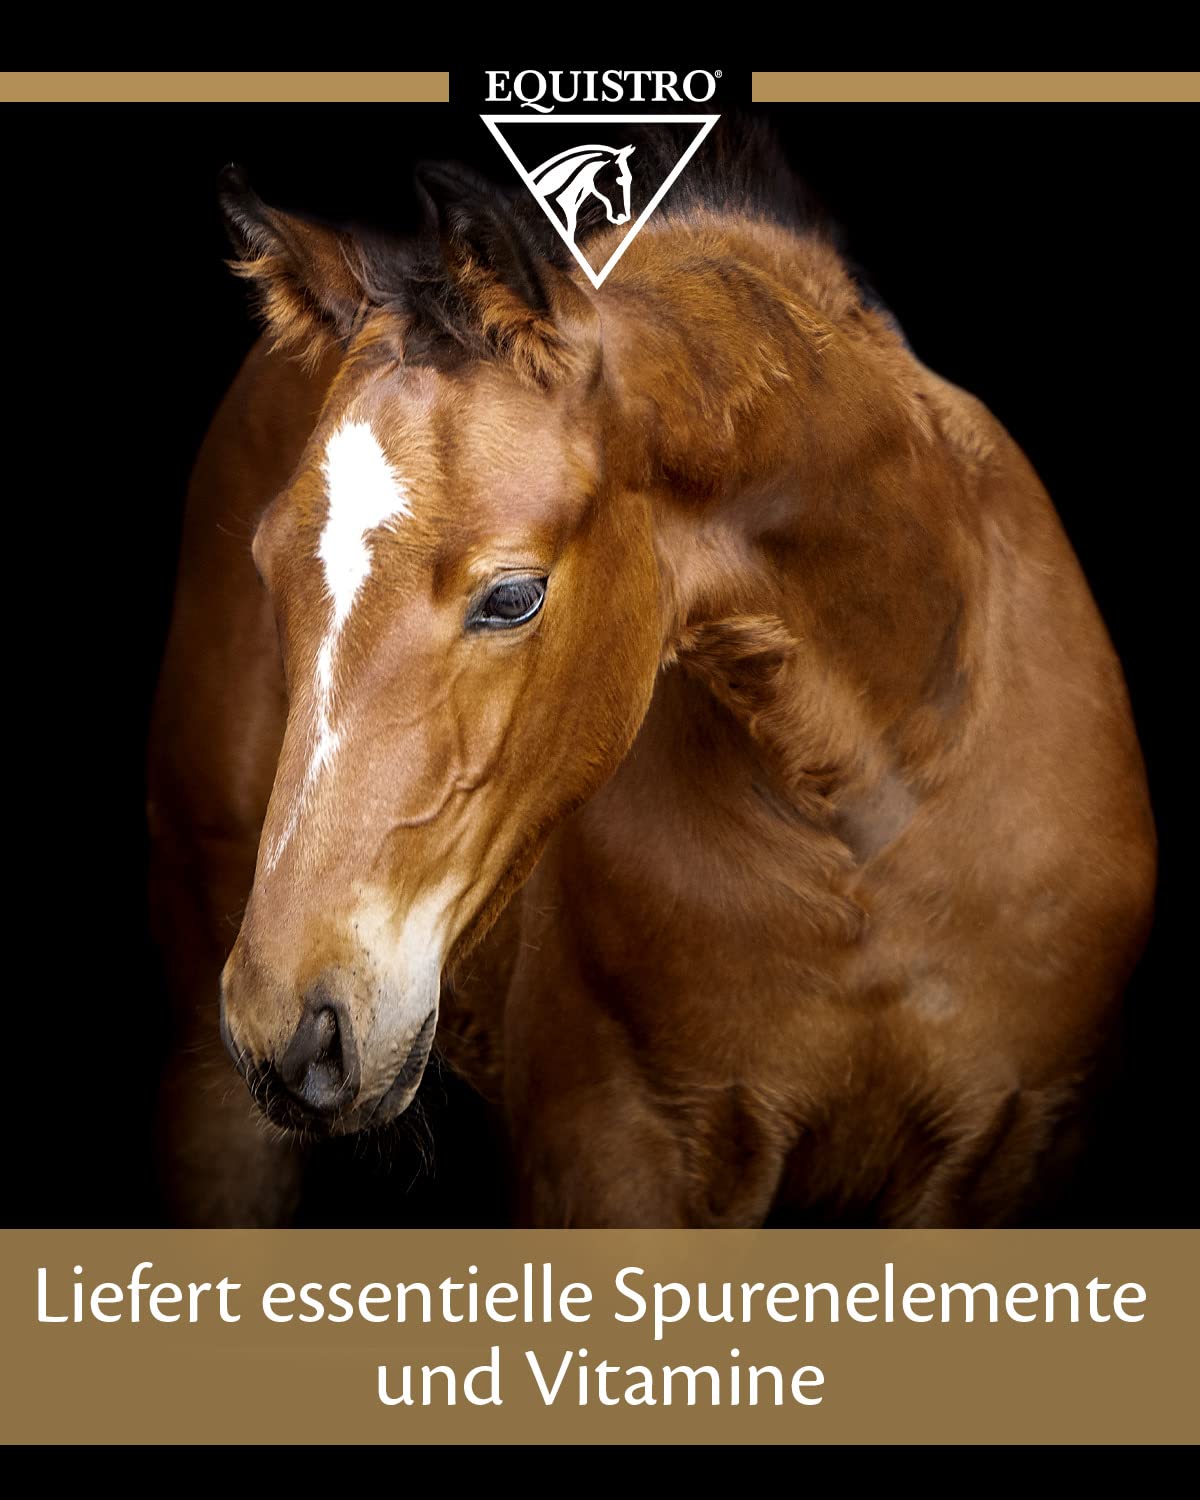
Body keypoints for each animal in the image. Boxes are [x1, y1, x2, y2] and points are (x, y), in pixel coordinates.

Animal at [147, 124, 1156, 1227]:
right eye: (266, 570)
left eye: (513, 596)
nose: (295, 1027)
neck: (871, 806)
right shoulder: (618, 1160)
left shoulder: (1015, 1150)